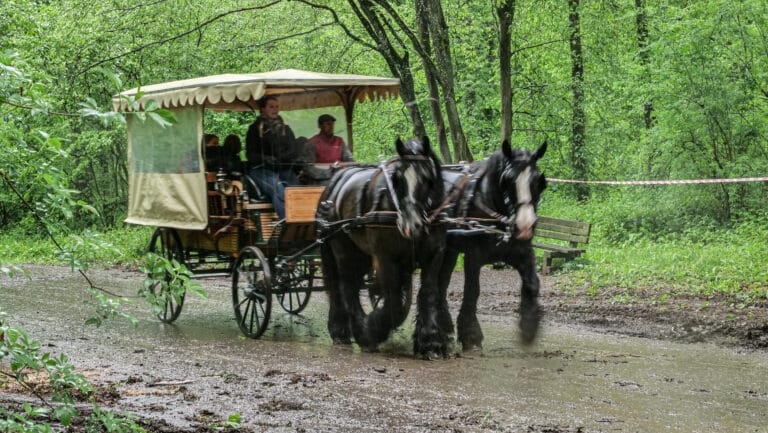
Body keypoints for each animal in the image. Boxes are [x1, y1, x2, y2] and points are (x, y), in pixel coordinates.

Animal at [316, 136, 450, 358]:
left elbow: (428, 293)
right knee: (345, 288)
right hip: (343, 250)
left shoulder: (434, 254)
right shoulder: (385, 257)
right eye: (397, 179)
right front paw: (373, 328)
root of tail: (337, 180)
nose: (411, 224)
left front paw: (430, 342)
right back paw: (357, 332)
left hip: (361, 256)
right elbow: (393, 300)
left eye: (427, 179)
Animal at [438, 140, 544, 350]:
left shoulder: (522, 251)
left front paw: (529, 325)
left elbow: (532, 283)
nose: (525, 225)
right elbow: (473, 290)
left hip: (450, 251)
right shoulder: (473, 254)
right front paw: (471, 335)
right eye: (508, 180)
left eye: (537, 180)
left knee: (442, 282)